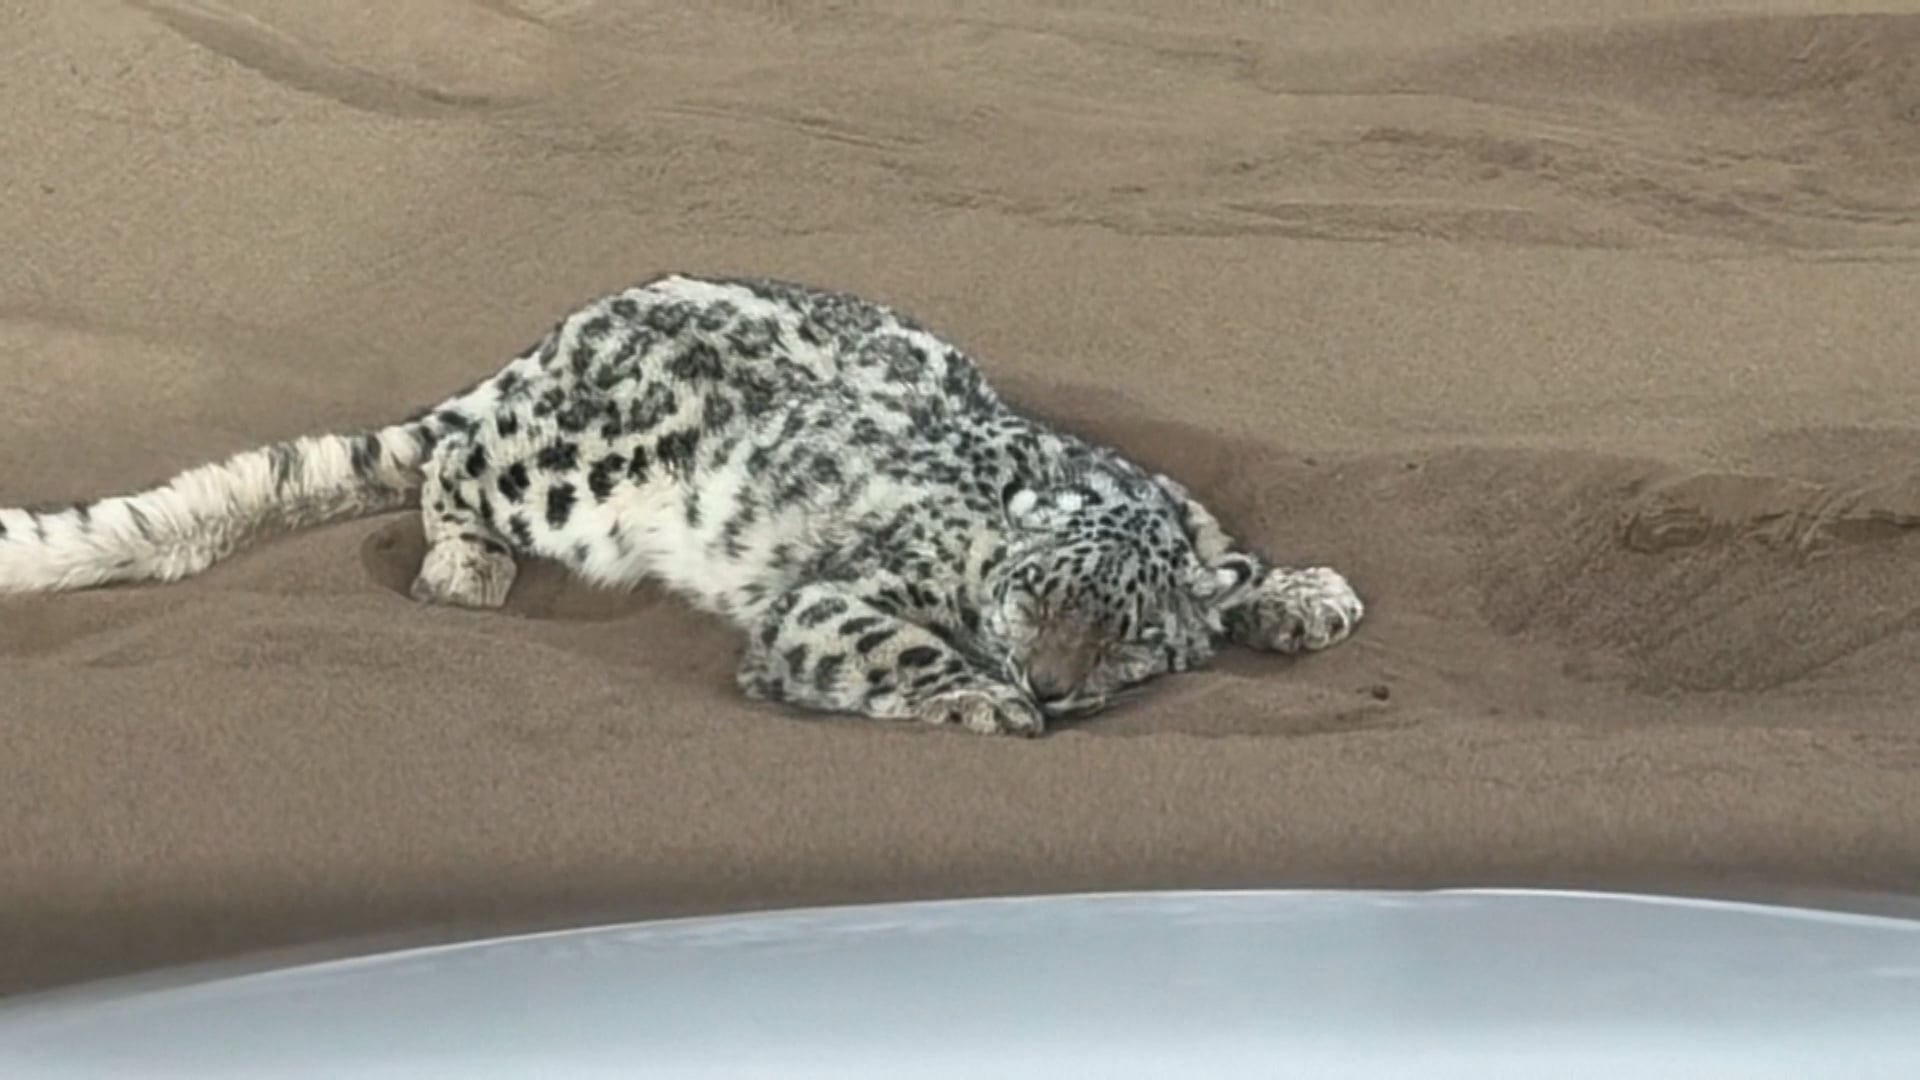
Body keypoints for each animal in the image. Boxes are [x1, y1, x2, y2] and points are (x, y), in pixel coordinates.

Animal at [0, 274, 1364, 736]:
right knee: (451, 466)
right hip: (564, 471)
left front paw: (1306, 596)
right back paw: (463, 572)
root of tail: (549, 340)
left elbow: (1232, 560)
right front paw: (984, 699)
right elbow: (892, 641)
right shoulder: (835, 599)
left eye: (1127, 635)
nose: (1051, 683)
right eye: (1033, 594)